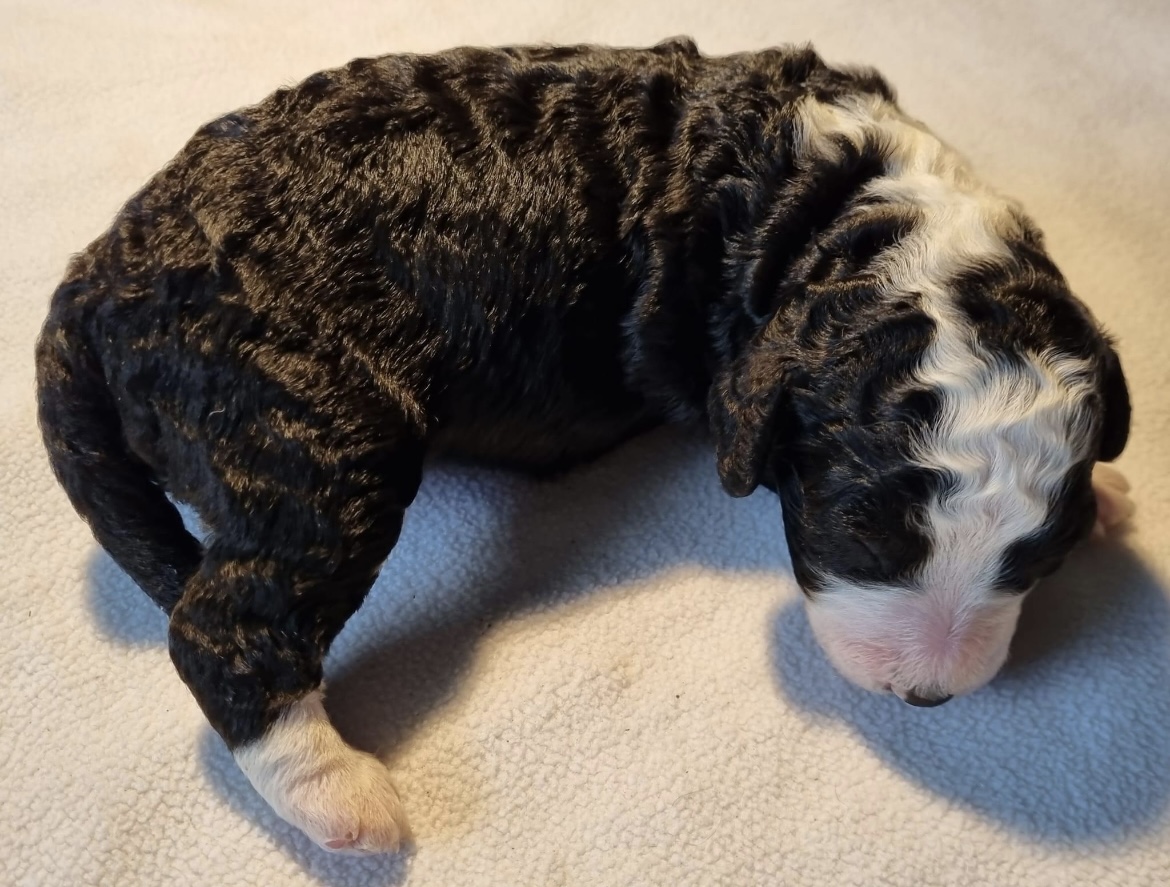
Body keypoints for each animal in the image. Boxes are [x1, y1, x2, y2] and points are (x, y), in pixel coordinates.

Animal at [35, 38, 1134, 852]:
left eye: (1039, 557)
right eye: (860, 533)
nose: (929, 694)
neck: (849, 215)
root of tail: (95, 274)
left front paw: (1114, 501)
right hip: (306, 424)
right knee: (222, 622)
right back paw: (342, 798)